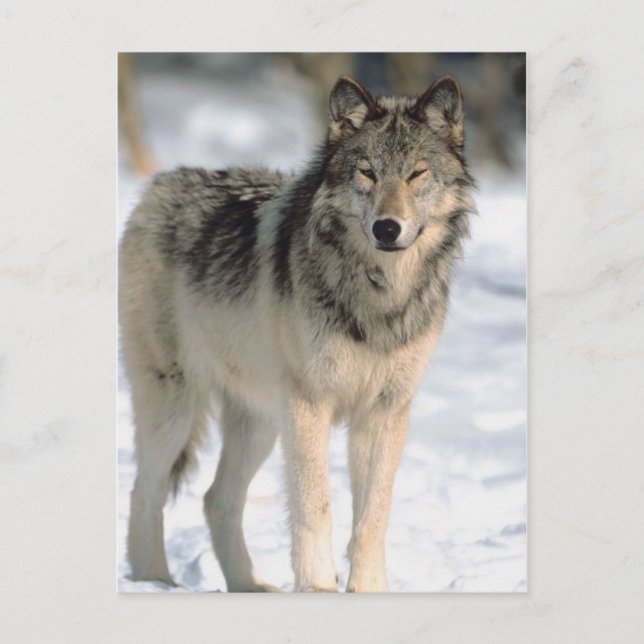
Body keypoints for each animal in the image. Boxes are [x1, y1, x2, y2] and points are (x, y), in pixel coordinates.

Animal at [120, 75, 475, 592]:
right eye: (367, 173)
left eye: (416, 174)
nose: (387, 228)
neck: (378, 295)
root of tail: (159, 186)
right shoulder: (311, 404)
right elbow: (315, 506)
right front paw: (318, 586)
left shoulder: (385, 412)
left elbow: (373, 516)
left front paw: (367, 589)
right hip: (177, 407)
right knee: (145, 491)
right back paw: (156, 582)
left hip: (260, 422)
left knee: (216, 499)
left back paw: (248, 586)